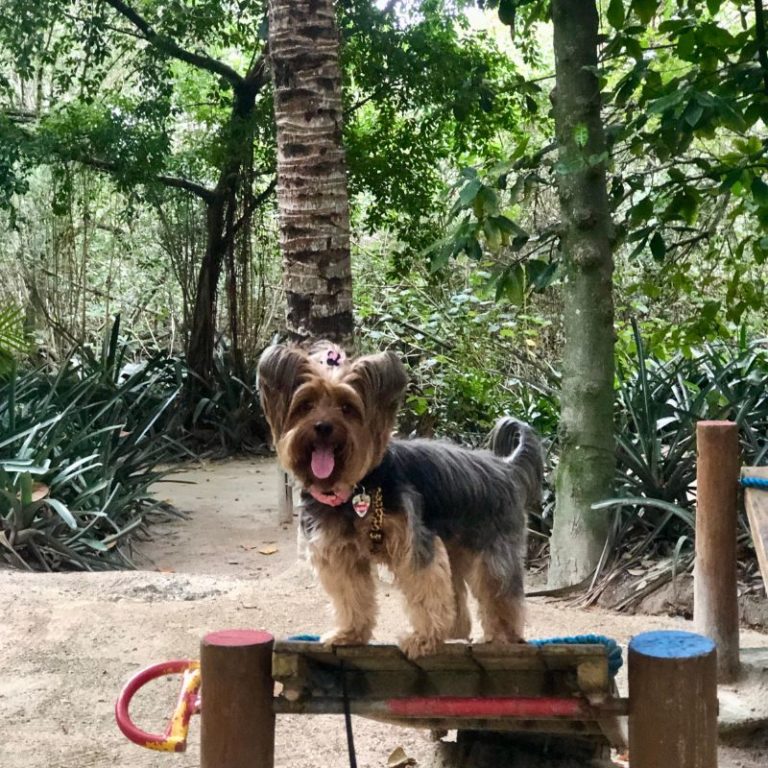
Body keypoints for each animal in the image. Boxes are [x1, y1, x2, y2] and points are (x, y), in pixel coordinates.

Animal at [260, 344, 544, 656]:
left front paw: (423, 639)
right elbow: (351, 595)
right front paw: (349, 633)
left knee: (501, 593)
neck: (358, 487)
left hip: (493, 550)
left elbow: (425, 587)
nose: (323, 426)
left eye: (347, 407)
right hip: (458, 548)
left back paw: (501, 637)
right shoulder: (341, 554)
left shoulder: (414, 542)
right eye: (306, 405)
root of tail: (506, 466)